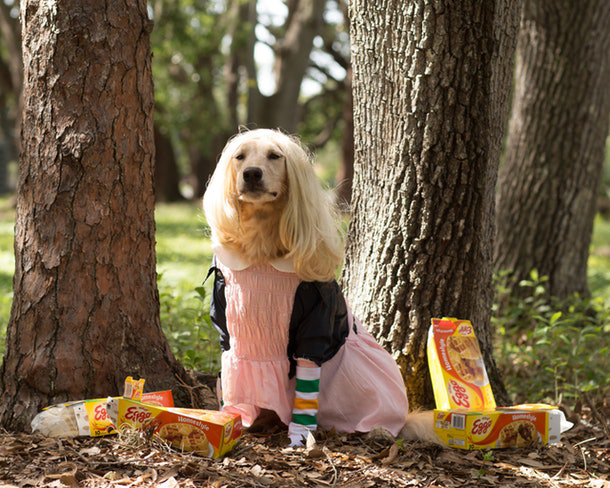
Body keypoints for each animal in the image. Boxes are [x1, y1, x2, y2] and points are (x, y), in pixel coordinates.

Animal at [202, 129, 434, 446]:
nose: (251, 174)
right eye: (240, 157)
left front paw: (299, 434)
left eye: (275, 156)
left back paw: (379, 429)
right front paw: (234, 417)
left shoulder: (315, 322)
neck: (262, 247)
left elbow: (306, 373)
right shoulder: (226, 320)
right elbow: (231, 363)